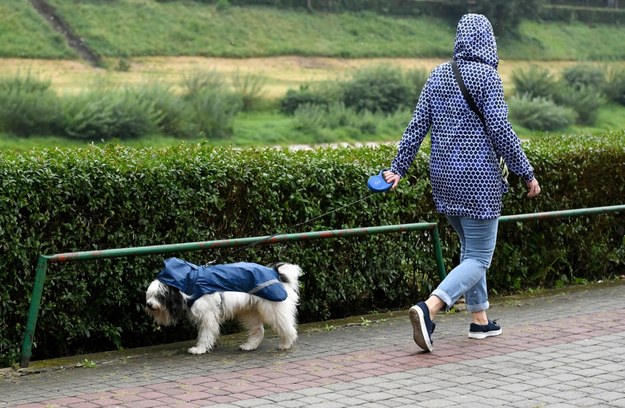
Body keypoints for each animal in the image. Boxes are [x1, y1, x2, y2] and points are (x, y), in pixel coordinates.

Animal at [146, 258, 302, 354]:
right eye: (150, 295)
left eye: (160, 295)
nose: (149, 304)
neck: (190, 282)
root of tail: (276, 273)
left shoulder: (207, 314)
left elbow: (206, 333)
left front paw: (200, 349)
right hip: (250, 311)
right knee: (258, 330)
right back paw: (249, 346)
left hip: (274, 308)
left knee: (287, 327)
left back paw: (286, 343)